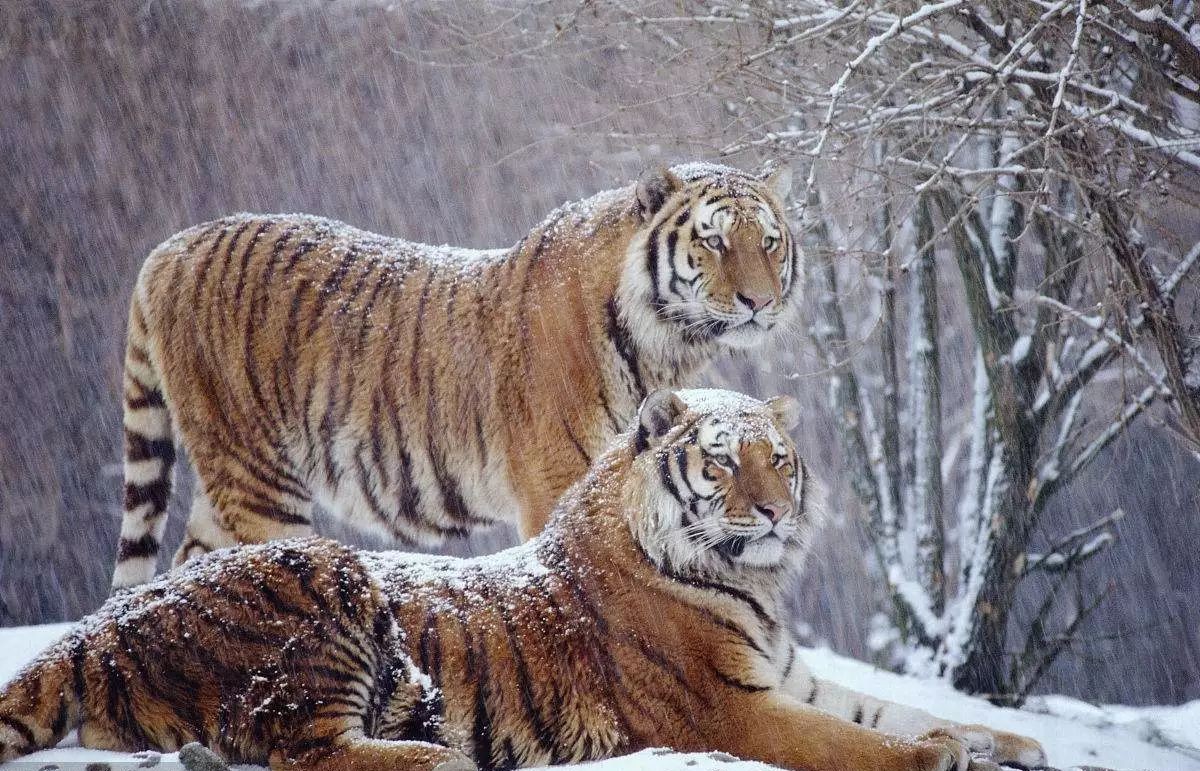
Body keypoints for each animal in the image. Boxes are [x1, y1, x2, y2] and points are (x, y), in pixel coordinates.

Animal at [4, 386, 1046, 768]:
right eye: (721, 461)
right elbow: (857, 741)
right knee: (305, 748)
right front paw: (940, 757)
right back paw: (439, 758)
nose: (775, 511)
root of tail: (104, 621)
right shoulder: (732, 708)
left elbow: (897, 708)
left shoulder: (790, 676)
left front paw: (1008, 742)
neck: (752, 586)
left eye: (779, 460)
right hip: (320, 586)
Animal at [112, 158, 796, 586]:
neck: (667, 347)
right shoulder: (554, 483)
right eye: (713, 240)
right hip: (257, 480)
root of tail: (166, 250)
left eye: (768, 241)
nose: (759, 302)